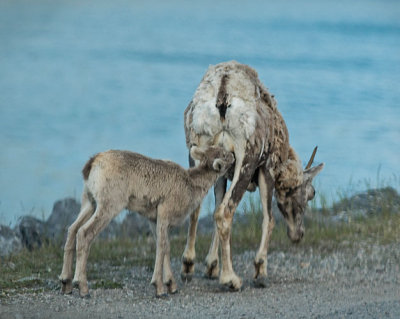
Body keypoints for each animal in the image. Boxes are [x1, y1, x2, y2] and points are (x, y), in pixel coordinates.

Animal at [59, 146, 234, 298]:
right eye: (224, 155)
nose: (233, 155)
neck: (191, 185)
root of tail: (92, 164)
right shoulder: (164, 212)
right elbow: (162, 247)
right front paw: (159, 289)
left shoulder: (153, 219)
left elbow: (165, 247)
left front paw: (171, 285)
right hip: (108, 206)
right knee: (84, 233)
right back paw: (82, 287)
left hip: (89, 202)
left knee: (72, 229)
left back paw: (66, 283)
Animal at [181, 61, 324, 292]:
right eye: (311, 193)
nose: (298, 234)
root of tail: (222, 97)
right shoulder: (267, 168)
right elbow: (269, 219)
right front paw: (260, 271)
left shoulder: (220, 171)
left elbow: (215, 207)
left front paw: (211, 266)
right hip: (246, 159)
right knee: (226, 213)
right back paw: (231, 279)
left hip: (196, 149)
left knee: (198, 208)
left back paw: (188, 266)